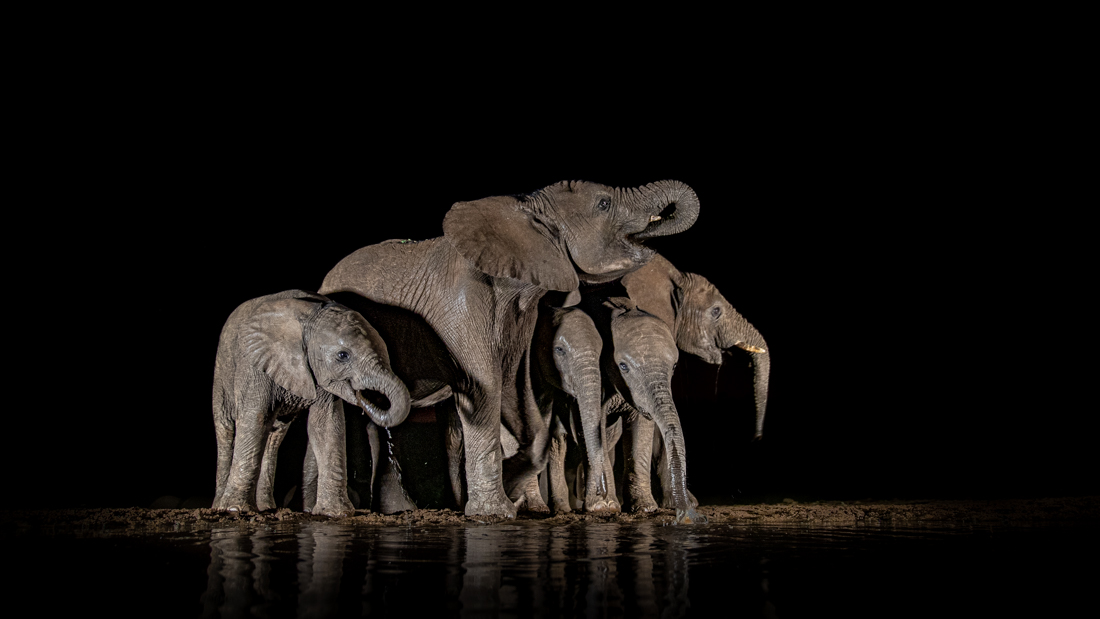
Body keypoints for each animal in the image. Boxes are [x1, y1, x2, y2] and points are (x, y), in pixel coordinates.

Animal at [209, 290, 409, 518]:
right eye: (343, 355)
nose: (364, 397)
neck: (309, 315)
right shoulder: (255, 365)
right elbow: (256, 419)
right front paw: (235, 510)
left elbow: (325, 425)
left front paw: (335, 513)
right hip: (222, 371)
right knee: (226, 429)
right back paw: (221, 506)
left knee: (274, 436)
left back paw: (267, 507)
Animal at [319, 181, 699, 521]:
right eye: (604, 203)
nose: (686, 514)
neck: (523, 210)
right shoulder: (461, 307)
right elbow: (483, 388)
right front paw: (495, 512)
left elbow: (516, 391)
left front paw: (513, 489)